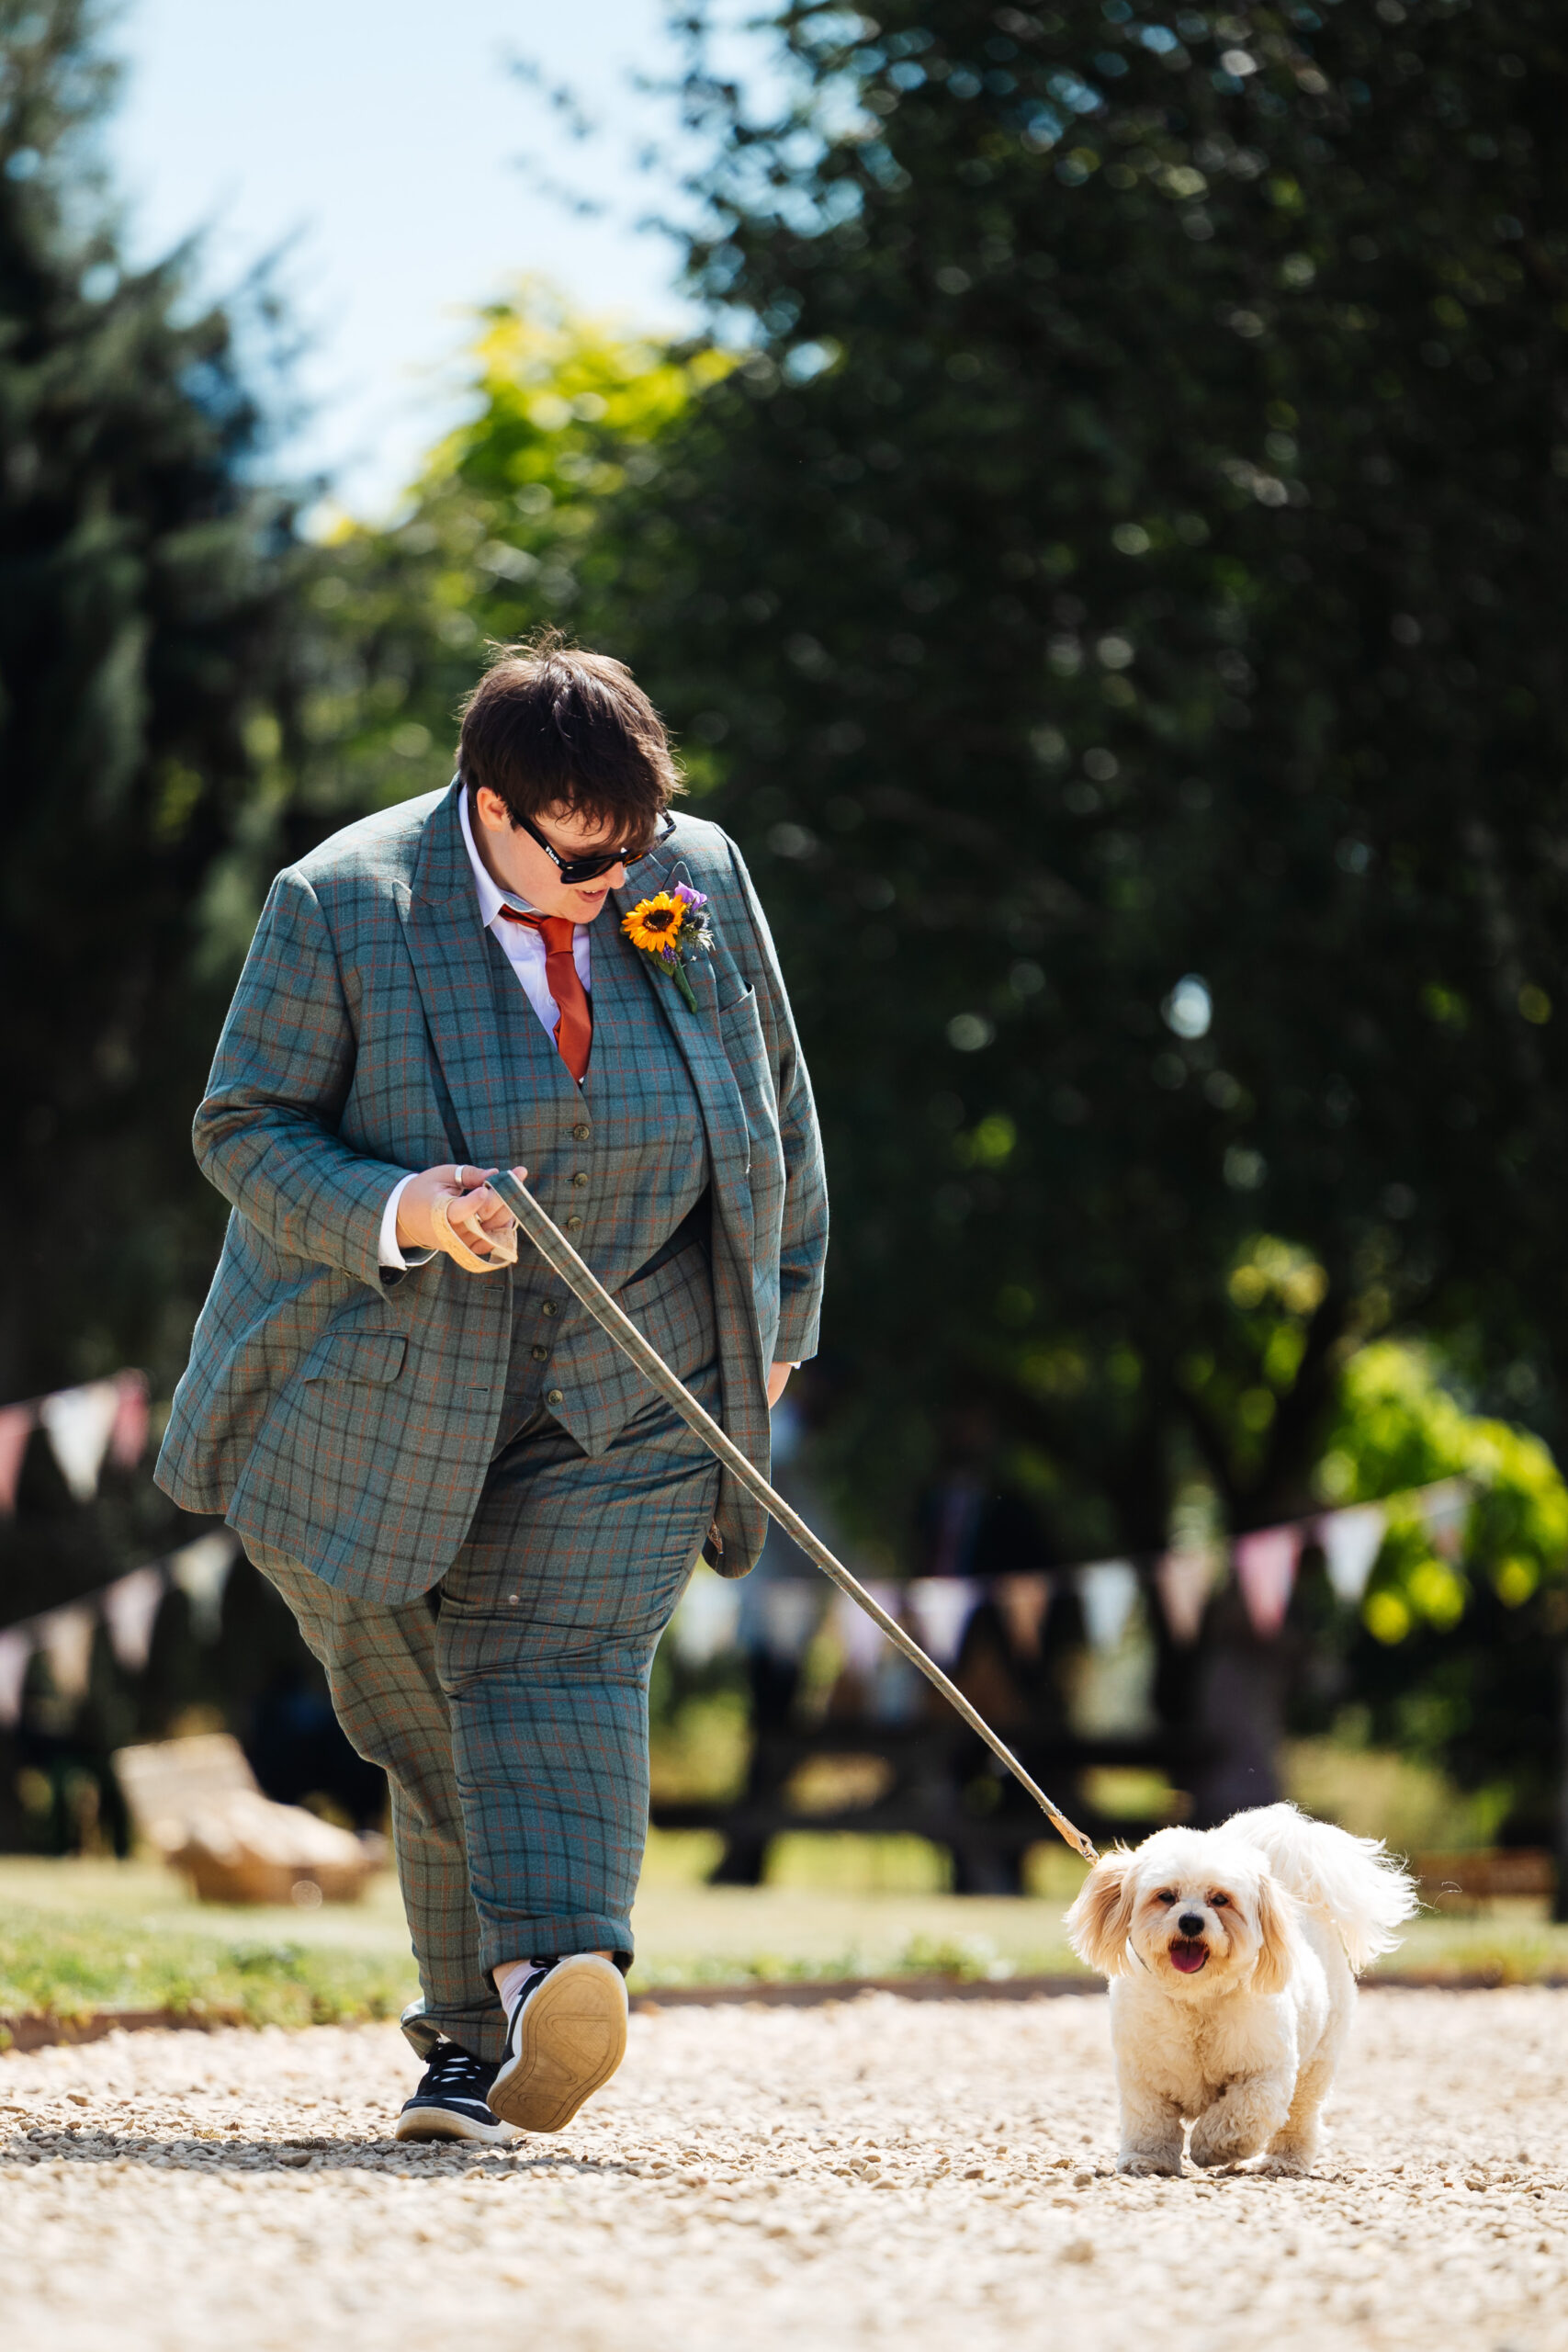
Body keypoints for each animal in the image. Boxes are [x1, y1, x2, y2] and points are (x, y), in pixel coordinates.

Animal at [1066, 1806, 1410, 2173]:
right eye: (1166, 1896)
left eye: (1220, 1899)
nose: (1191, 1921)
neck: (1197, 1997)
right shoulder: (1144, 2077)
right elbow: (1150, 2122)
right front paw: (1147, 2159)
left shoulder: (1265, 2073)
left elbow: (1241, 2113)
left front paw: (1212, 2148)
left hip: (1317, 2063)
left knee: (1300, 2115)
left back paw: (1284, 2162)